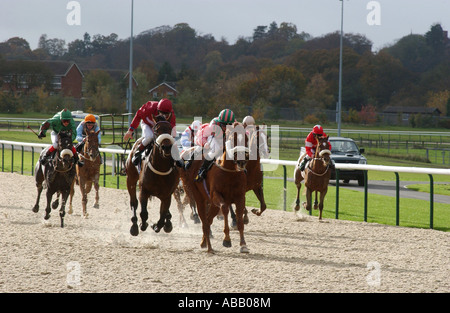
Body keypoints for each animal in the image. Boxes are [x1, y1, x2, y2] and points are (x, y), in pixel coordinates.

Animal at [180, 123, 250, 252]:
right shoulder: (216, 195)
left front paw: (243, 245)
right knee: (204, 219)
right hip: (198, 196)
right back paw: (208, 245)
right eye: (232, 138)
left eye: (246, 139)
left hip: (211, 203)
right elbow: (225, 209)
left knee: (208, 220)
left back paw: (204, 242)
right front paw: (227, 239)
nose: (241, 161)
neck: (230, 172)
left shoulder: (240, 197)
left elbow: (239, 217)